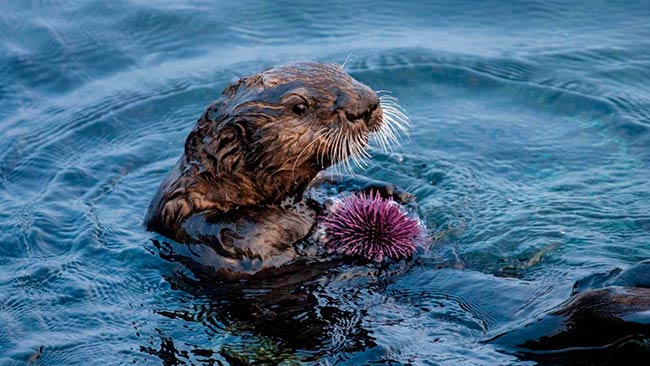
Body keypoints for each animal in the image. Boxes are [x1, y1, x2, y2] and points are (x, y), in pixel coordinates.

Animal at [146, 62, 410, 274]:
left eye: (340, 71)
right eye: (299, 108)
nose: (368, 103)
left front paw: (388, 191)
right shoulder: (194, 223)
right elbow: (244, 232)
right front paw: (299, 219)